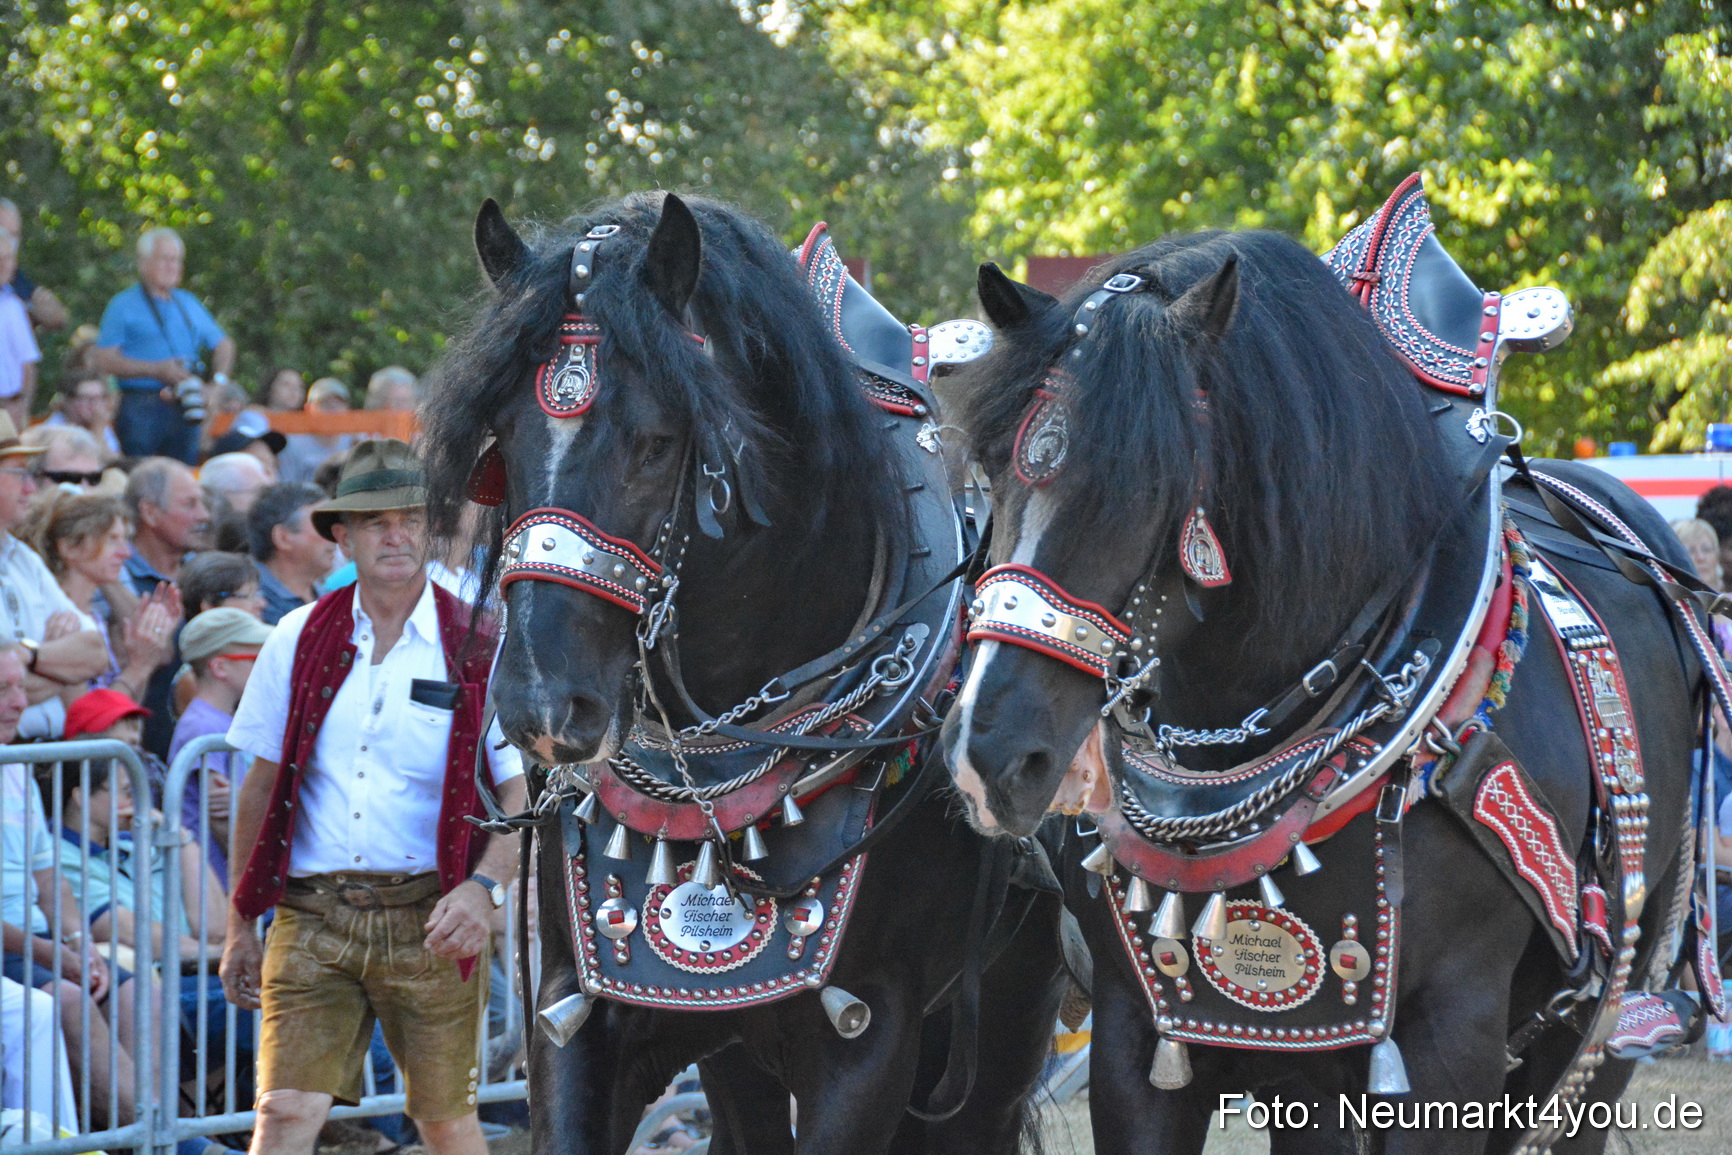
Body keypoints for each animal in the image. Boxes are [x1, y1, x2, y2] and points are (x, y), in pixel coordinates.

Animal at [420, 191, 1066, 1155]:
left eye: (656, 442)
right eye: (503, 440)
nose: (541, 700)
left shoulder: (870, 1037)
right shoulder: (581, 1011)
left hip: (1000, 1028)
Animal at [940, 201, 1718, 1155]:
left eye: (1149, 478)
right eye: (990, 469)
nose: (990, 753)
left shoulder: (1452, 1045)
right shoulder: (1143, 1035)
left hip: (1600, 1033)